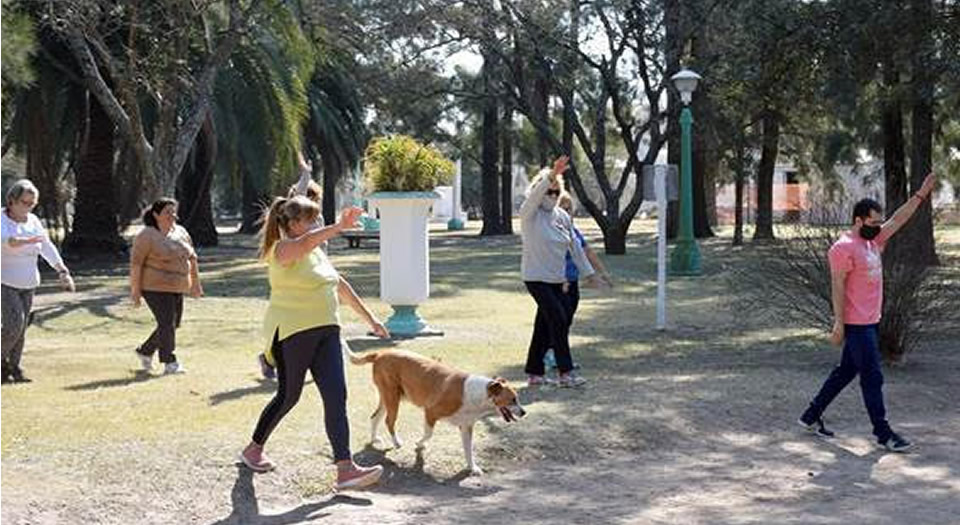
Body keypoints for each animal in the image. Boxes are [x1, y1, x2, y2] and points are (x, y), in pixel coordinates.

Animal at [348, 348, 524, 474]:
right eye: (512, 399)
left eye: (517, 398)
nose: (524, 412)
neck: (478, 394)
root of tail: (381, 353)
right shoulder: (430, 412)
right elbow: (428, 434)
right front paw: (419, 444)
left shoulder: (466, 426)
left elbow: (468, 450)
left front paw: (472, 468)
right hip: (393, 398)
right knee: (388, 421)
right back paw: (397, 442)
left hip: (388, 398)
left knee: (374, 417)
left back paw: (374, 439)